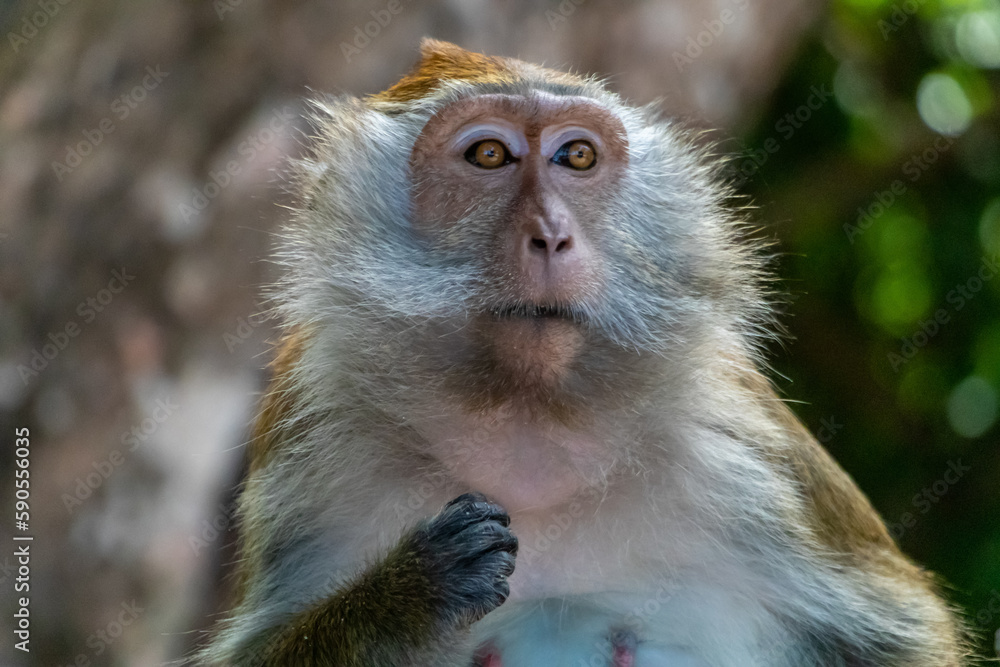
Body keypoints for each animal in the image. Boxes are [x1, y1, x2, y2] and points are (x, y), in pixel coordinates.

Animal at [198, 39, 967, 666]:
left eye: (577, 156)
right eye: (487, 154)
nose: (551, 233)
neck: (527, 418)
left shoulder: (741, 442)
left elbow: (900, 633)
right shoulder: (311, 441)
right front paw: (407, 595)